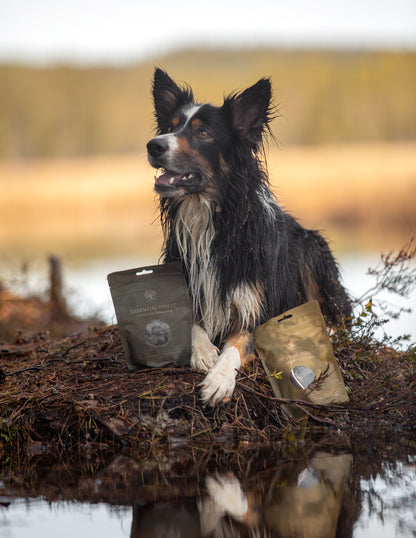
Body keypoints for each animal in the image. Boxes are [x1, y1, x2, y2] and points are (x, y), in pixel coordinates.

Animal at [146, 68, 352, 402]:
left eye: (204, 133)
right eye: (171, 127)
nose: (153, 145)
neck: (211, 222)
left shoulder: (260, 311)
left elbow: (236, 346)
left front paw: (219, 379)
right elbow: (190, 323)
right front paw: (204, 351)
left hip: (311, 247)